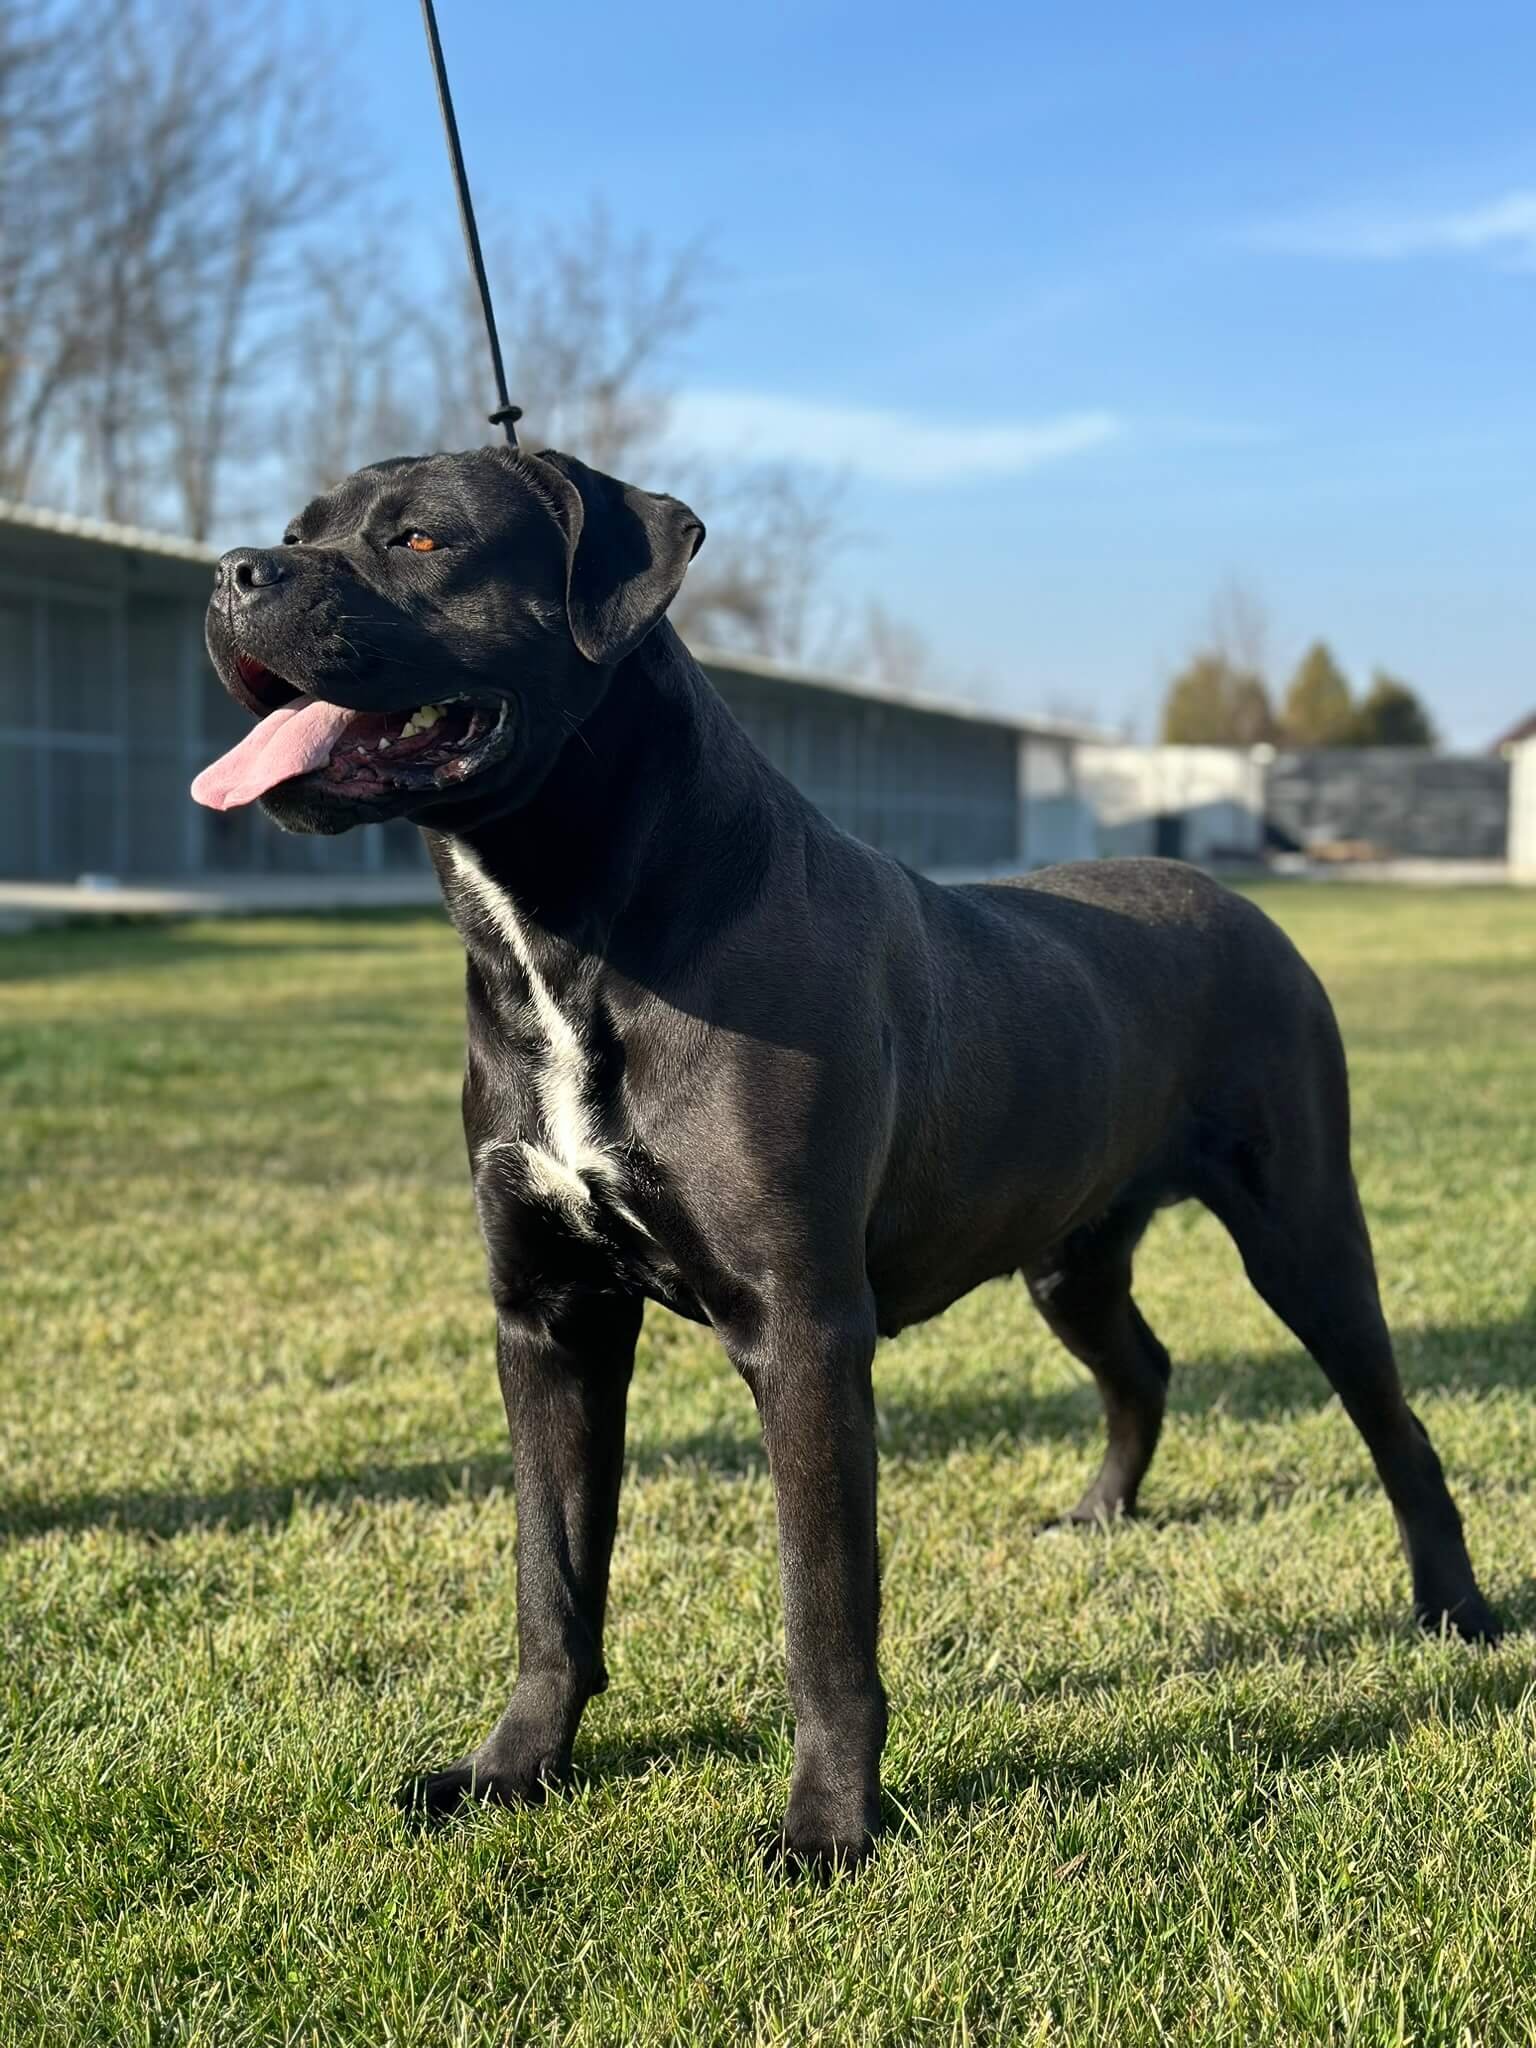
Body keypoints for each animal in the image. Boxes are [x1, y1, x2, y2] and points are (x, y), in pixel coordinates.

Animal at [195, 448, 1507, 1875]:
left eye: (422, 539)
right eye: (299, 527)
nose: (234, 570)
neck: (565, 934)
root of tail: (1246, 903)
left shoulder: (805, 1328)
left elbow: (823, 1610)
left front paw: (827, 1829)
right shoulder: (546, 1315)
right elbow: (553, 1578)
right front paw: (511, 1771)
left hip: (1303, 1230)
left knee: (1396, 1422)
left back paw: (1457, 1609)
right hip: (1071, 1253)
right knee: (1144, 1362)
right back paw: (1101, 1513)